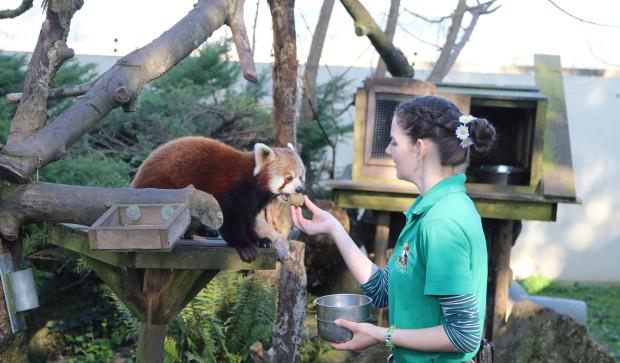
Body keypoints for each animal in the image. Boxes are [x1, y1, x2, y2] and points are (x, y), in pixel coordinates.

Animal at [133, 136, 306, 262]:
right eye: (289, 178)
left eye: (301, 176)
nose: (299, 189)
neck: (252, 181)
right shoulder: (231, 191)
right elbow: (230, 220)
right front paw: (244, 246)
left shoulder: (252, 202)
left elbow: (248, 220)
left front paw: (258, 239)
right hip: (165, 188)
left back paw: (205, 230)